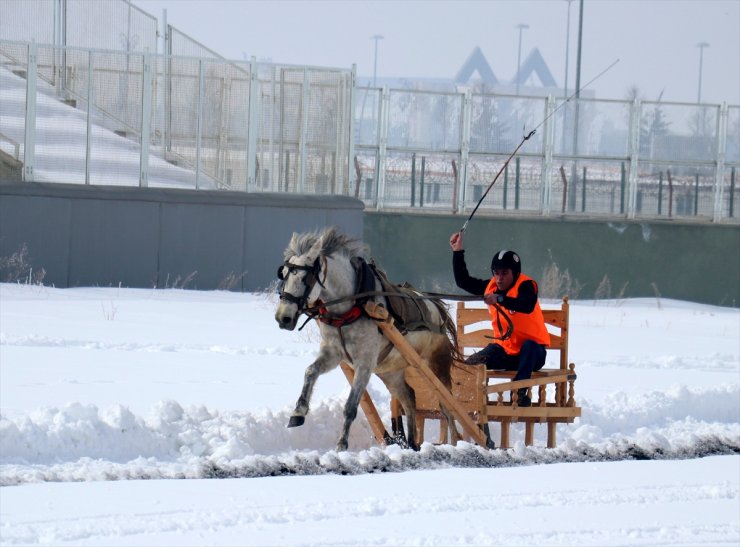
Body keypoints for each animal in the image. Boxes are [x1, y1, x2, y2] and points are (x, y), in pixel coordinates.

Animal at [274, 227, 460, 454]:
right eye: (283, 274)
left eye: (304, 278)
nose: (283, 317)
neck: (352, 305)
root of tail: (438, 308)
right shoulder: (333, 354)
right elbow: (310, 371)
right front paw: (297, 413)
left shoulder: (364, 362)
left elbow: (350, 406)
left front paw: (341, 445)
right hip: (391, 372)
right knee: (410, 398)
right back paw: (412, 444)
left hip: (434, 368)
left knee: (448, 406)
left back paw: (456, 444)